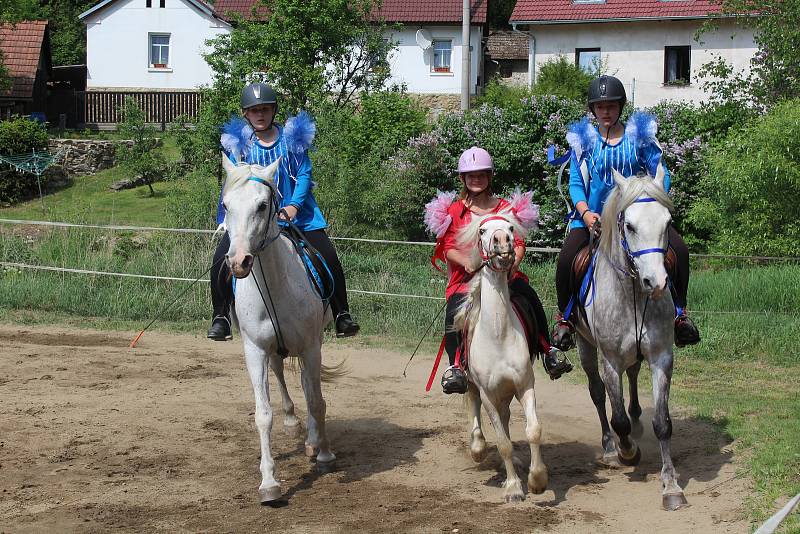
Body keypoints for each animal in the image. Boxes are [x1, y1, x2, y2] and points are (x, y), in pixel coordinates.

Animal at [220, 156, 336, 506]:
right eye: (226, 205)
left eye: (262, 205)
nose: (238, 262)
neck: (275, 284)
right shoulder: (255, 351)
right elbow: (263, 414)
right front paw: (269, 483)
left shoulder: (311, 347)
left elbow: (317, 401)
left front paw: (325, 455)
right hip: (274, 351)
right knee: (283, 377)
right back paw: (293, 423)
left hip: (313, 344)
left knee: (309, 388)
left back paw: (313, 442)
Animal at [450, 211, 552, 504]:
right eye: (482, 231)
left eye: (510, 228)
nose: (502, 241)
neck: (498, 335)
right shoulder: (488, 395)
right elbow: (503, 443)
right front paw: (514, 489)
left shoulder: (524, 386)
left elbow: (533, 430)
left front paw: (537, 480)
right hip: (476, 388)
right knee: (475, 409)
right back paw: (478, 448)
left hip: (506, 392)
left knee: (506, 420)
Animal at [576, 166, 688, 510]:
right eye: (630, 225)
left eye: (667, 223)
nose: (657, 282)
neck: (633, 294)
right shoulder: (610, 361)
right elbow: (618, 417)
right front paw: (628, 452)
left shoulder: (662, 357)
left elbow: (663, 423)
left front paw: (671, 487)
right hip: (584, 347)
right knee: (598, 394)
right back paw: (611, 448)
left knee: (634, 374)